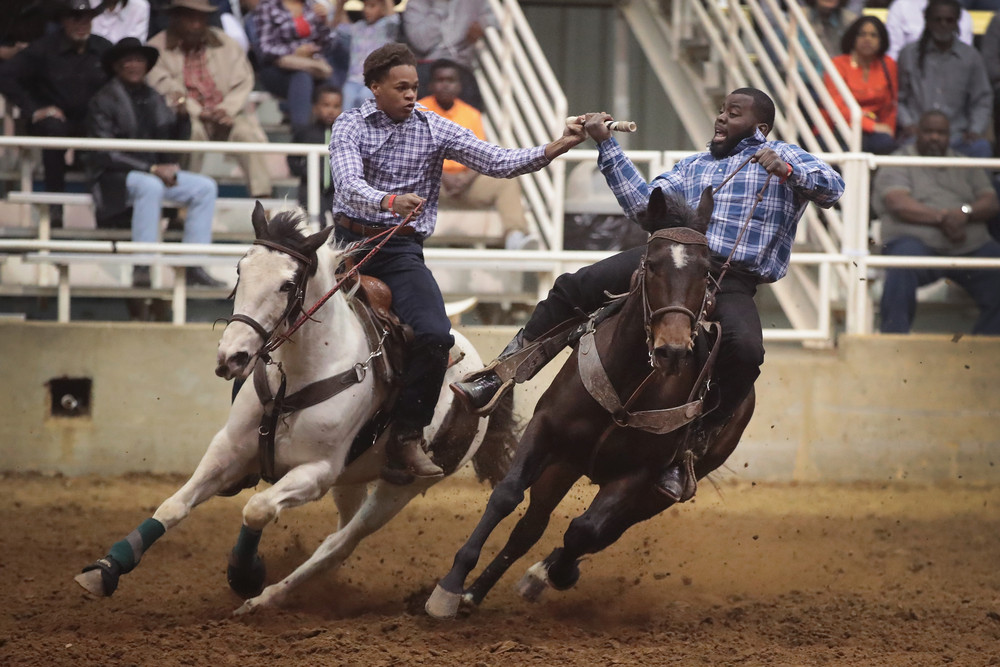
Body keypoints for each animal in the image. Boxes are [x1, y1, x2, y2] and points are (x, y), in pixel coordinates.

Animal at [74, 204, 516, 616]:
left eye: (288, 284)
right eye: (240, 269)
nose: (232, 357)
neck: (303, 373)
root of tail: (484, 374)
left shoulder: (317, 472)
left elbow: (257, 510)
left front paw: (245, 574)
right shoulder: (229, 448)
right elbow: (175, 505)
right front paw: (105, 570)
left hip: (400, 487)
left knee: (338, 544)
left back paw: (266, 598)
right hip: (351, 479)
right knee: (338, 532)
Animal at [426, 185, 752, 620]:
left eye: (705, 271)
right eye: (652, 264)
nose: (672, 350)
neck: (629, 386)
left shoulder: (638, 474)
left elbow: (584, 530)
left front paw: (556, 574)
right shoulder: (545, 430)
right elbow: (507, 495)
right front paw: (449, 588)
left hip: (652, 493)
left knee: (599, 532)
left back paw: (541, 575)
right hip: (565, 463)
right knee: (530, 526)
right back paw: (474, 594)